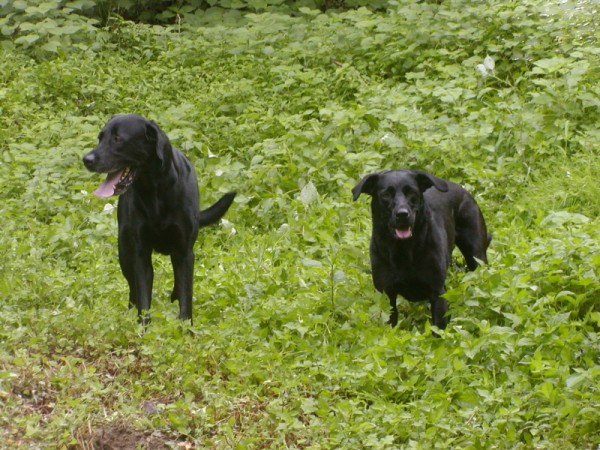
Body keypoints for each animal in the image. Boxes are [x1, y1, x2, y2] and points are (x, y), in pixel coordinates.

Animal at [82, 112, 237, 324]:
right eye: (100, 138)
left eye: (118, 139)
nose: (86, 159)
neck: (154, 190)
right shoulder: (140, 254)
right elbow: (143, 299)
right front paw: (143, 327)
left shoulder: (184, 252)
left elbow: (186, 296)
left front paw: (185, 327)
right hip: (124, 250)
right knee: (133, 290)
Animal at [354, 169, 490, 330]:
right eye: (386, 194)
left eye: (412, 192)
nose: (402, 214)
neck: (404, 249)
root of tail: (462, 189)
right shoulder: (386, 295)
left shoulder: (437, 292)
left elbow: (438, 327)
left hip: (476, 256)